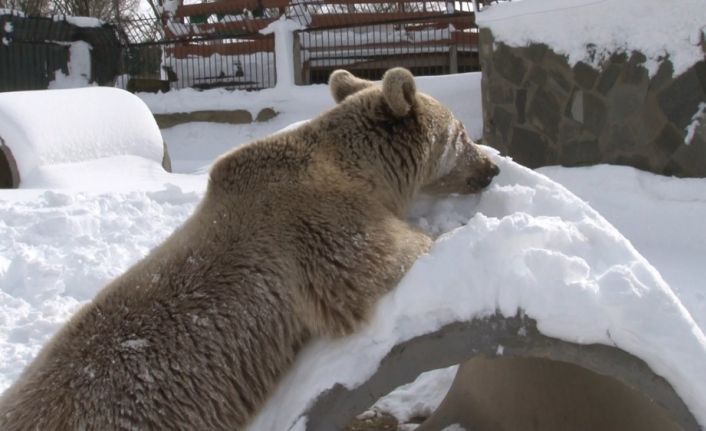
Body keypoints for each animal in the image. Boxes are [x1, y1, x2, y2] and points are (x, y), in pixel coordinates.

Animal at [0, 69, 498, 430]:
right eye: (461, 132)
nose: (491, 167)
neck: (358, 171)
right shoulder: (321, 230)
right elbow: (382, 259)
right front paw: (457, 229)